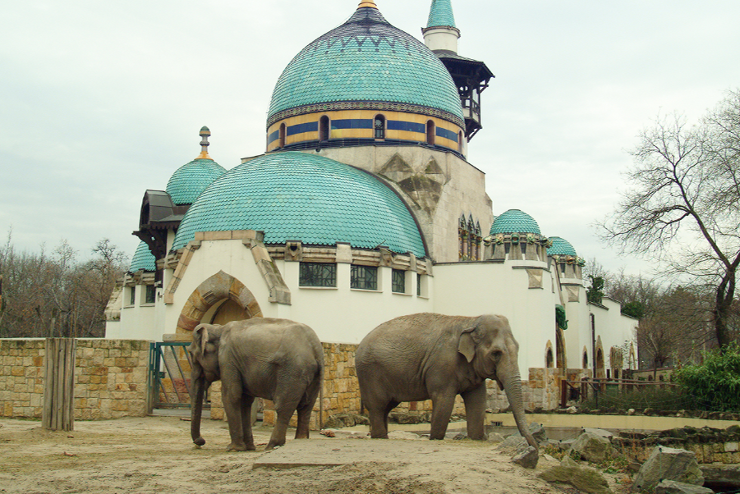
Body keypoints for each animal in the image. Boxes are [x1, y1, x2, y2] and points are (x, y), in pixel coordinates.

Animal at [186, 316, 322, 452]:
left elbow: (231, 396)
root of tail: (315, 348)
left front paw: (233, 448)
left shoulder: (228, 359)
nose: (201, 442)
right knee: (306, 407)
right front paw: (248, 448)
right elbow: (245, 401)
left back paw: (272, 445)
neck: (218, 328)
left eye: (191, 354)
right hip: (313, 376)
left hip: (292, 373)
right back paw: (300, 439)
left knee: (283, 407)